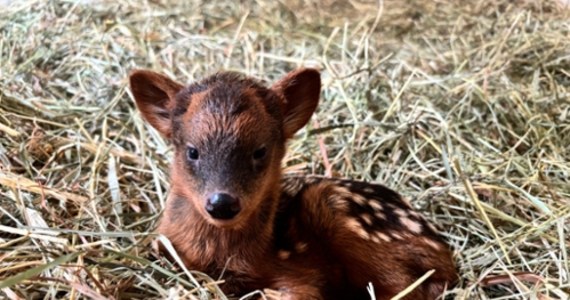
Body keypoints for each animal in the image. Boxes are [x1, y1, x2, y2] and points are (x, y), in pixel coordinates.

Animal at [131, 68, 454, 300]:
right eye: (192, 151)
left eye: (260, 151)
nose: (222, 203)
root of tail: (444, 251)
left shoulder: (300, 276)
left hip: (334, 205)